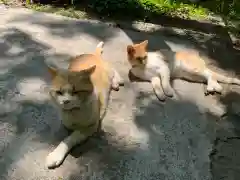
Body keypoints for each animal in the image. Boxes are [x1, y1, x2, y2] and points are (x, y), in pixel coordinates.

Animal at [45, 41, 124, 169]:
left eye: (76, 92)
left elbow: (70, 138)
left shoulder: (91, 126)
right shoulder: (65, 122)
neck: (73, 112)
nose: (66, 101)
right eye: (59, 92)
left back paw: (117, 81)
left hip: (109, 70)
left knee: (114, 71)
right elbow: (66, 127)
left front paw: (56, 155)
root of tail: (91, 54)